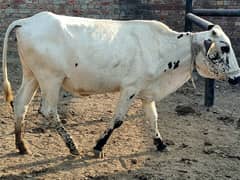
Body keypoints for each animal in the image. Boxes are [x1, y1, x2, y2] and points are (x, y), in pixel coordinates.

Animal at [1, 11, 240, 157]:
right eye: (224, 47)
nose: (237, 77)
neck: (163, 47)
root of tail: (28, 21)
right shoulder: (130, 88)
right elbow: (117, 120)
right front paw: (98, 146)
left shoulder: (147, 92)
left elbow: (152, 118)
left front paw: (160, 143)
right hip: (50, 79)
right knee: (48, 111)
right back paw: (72, 146)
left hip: (32, 75)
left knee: (20, 104)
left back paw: (22, 146)